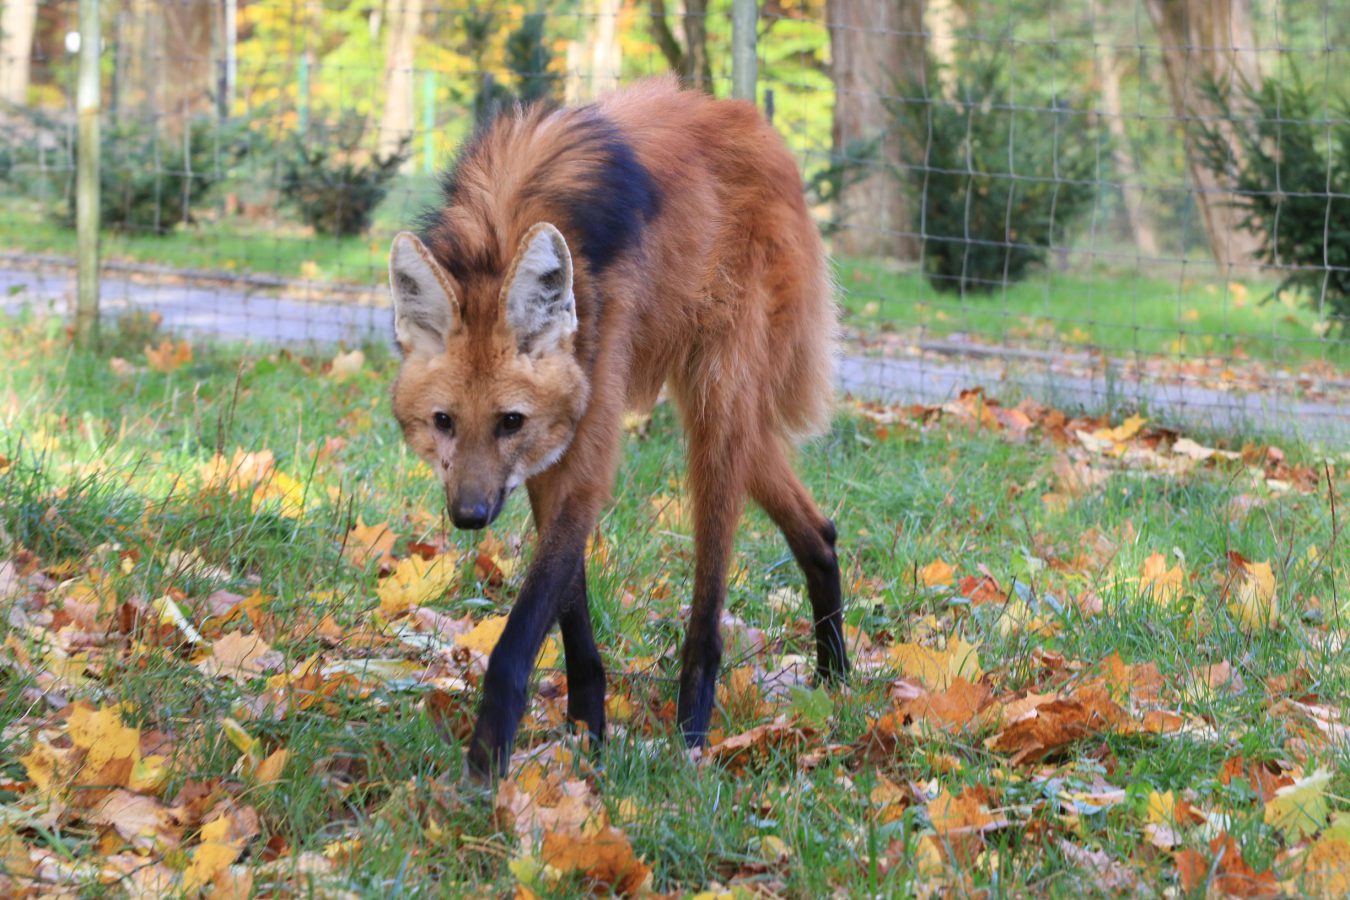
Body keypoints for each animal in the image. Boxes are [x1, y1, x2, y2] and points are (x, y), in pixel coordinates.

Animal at [388, 79, 842, 782]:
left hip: (716, 405)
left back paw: (692, 736)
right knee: (817, 530)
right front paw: (588, 733)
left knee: (710, 600)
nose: (469, 517)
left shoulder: (576, 441)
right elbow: (571, 612)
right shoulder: (548, 455)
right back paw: (838, 679)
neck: (503, 231)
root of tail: (760, 128)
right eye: (443, 422)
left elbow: (525, 628)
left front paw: (485, 769)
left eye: (509, 421)